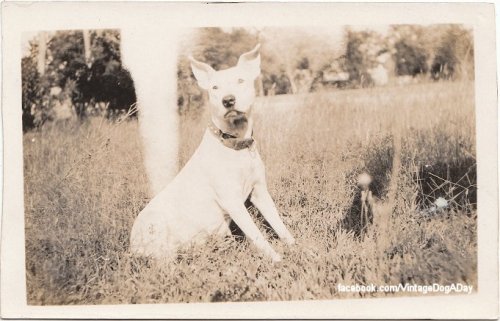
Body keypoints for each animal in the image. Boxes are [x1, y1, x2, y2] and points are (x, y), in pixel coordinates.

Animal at [129, 44, 294, 260]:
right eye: (215, 88)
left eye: (240, 80)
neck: (235, 144)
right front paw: (276, 260)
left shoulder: (260, 192)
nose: (228, 100)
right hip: (156, 223)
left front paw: (297, 246)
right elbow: (256, 234)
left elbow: (279, 224)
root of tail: (130, 246)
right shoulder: (232, 201)